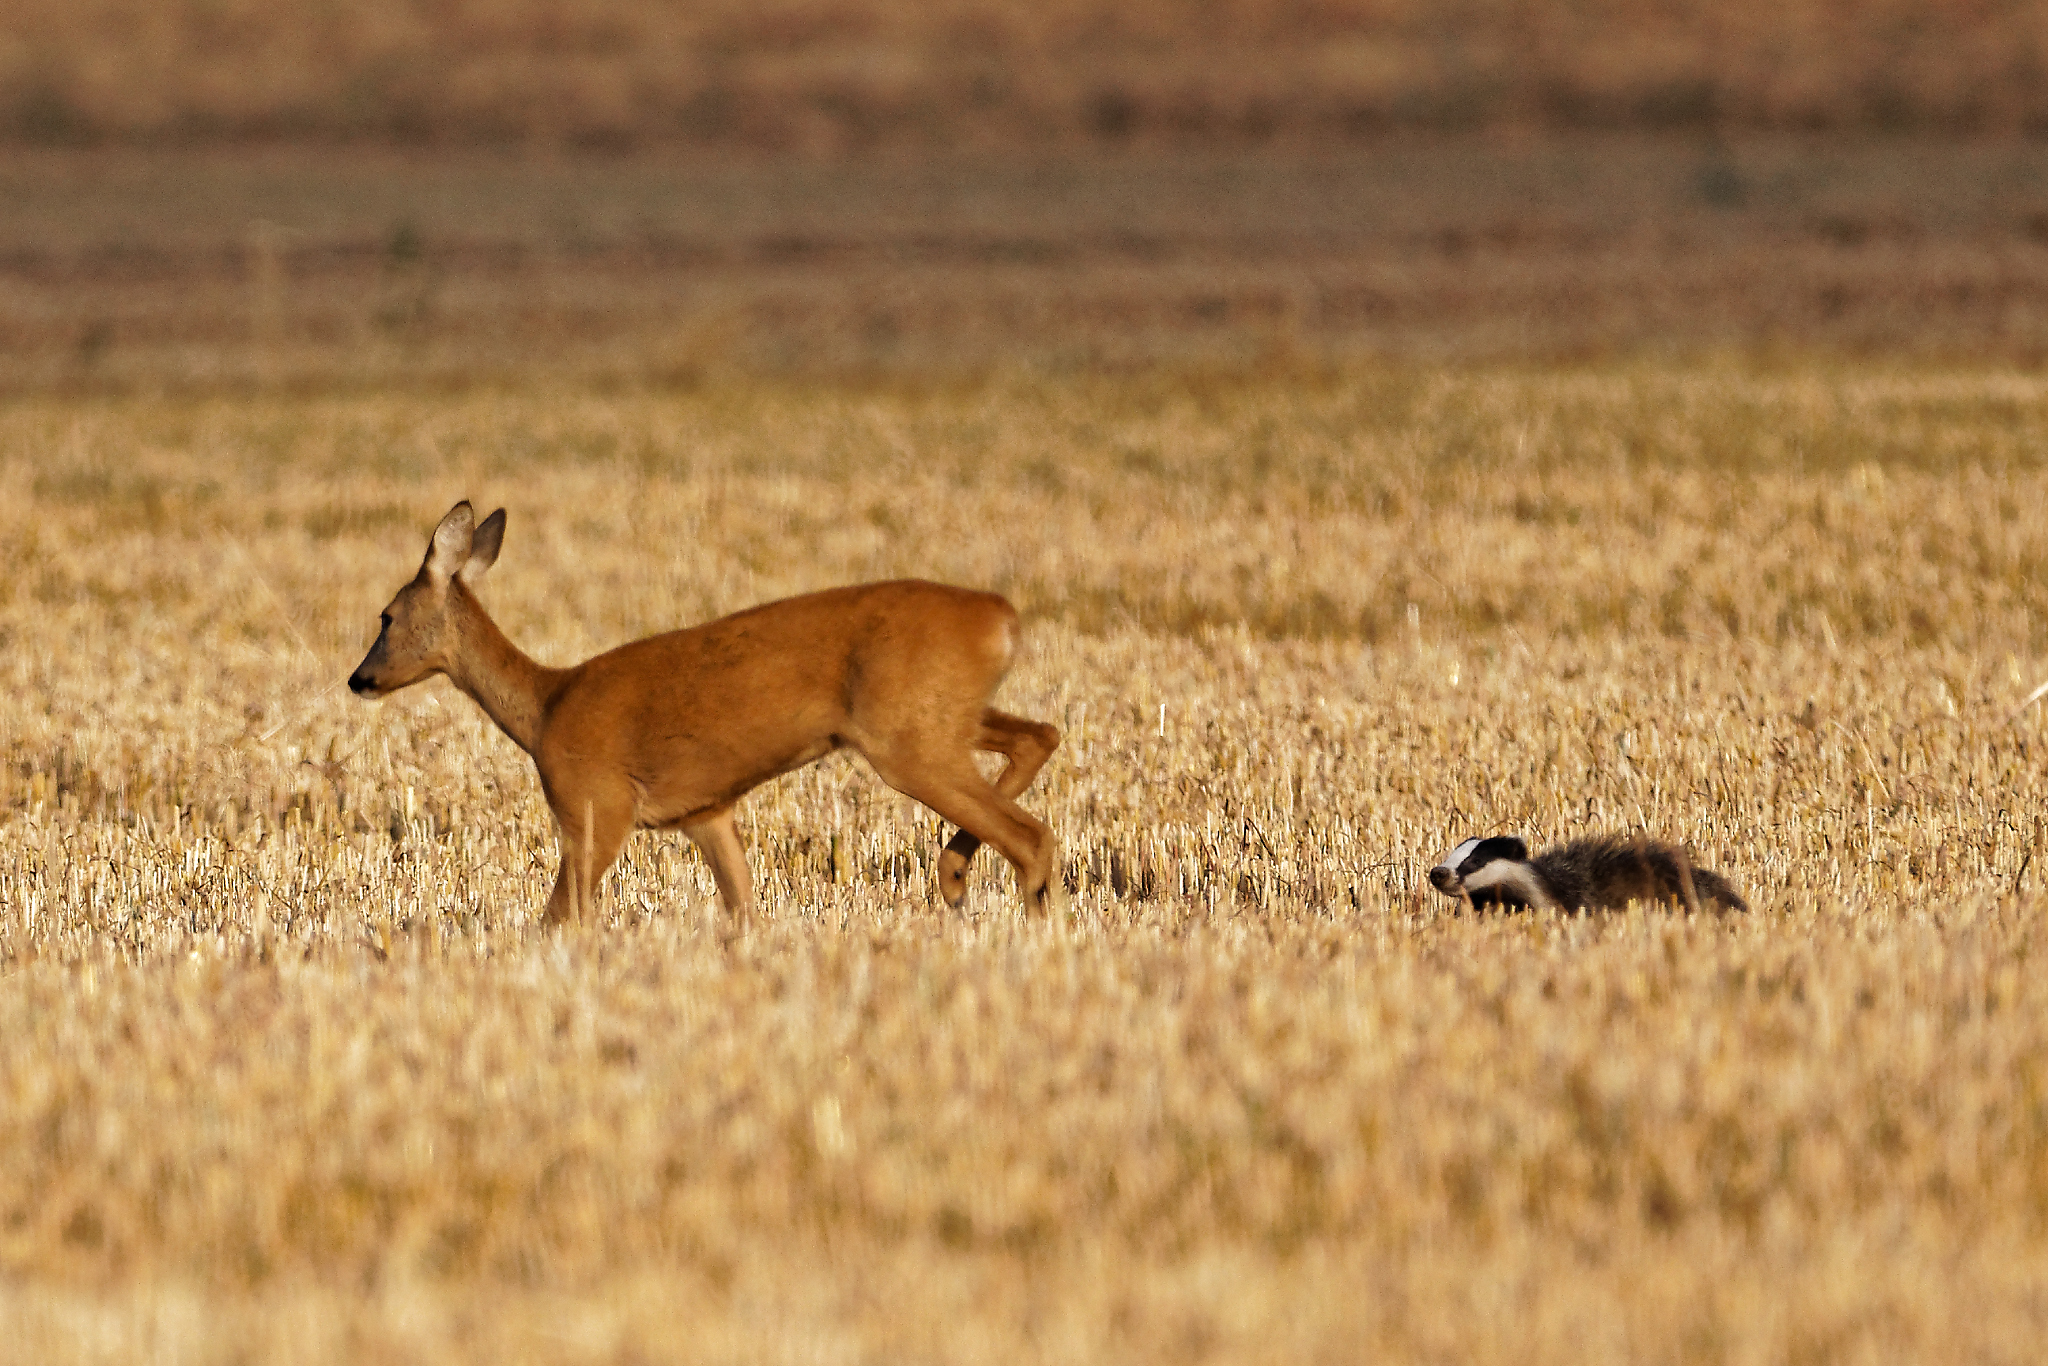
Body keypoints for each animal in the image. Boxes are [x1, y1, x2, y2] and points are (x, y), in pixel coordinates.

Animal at [346, 501, 1064, 929]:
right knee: (1042, 737)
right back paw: (955, 875)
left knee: (1032, 835)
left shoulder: (594, 806)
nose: (359, 679)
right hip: (941, 719)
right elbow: (743, 909)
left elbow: (559, 919)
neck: (546, 706)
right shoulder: (707, 814)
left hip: (907, 738)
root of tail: (1002, 620)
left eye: (386, 616)